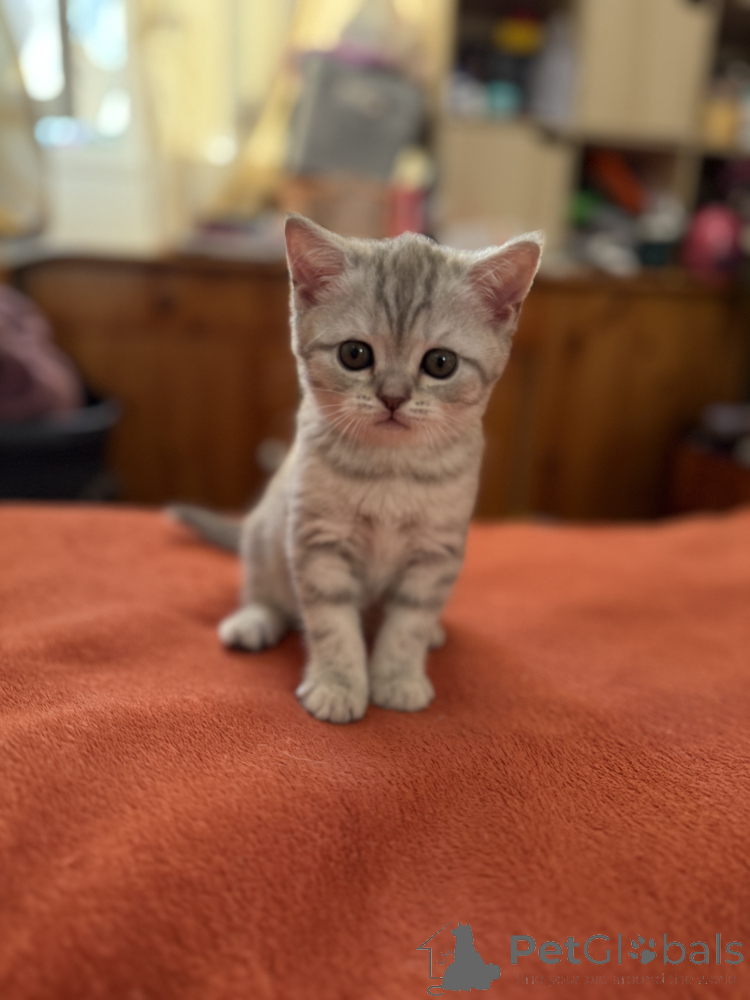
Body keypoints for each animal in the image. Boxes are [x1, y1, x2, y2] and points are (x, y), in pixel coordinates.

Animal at [170, 213, 542, 724]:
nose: (393, 397)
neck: (391, 472)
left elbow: (408, 623)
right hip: (265, 533)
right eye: (355, 354)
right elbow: (331, 624)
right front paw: (338, 684)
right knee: (266, 591)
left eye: (440, 363)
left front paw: (398, 676)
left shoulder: (435, 553)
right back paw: (254, 620)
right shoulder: (318, 542)